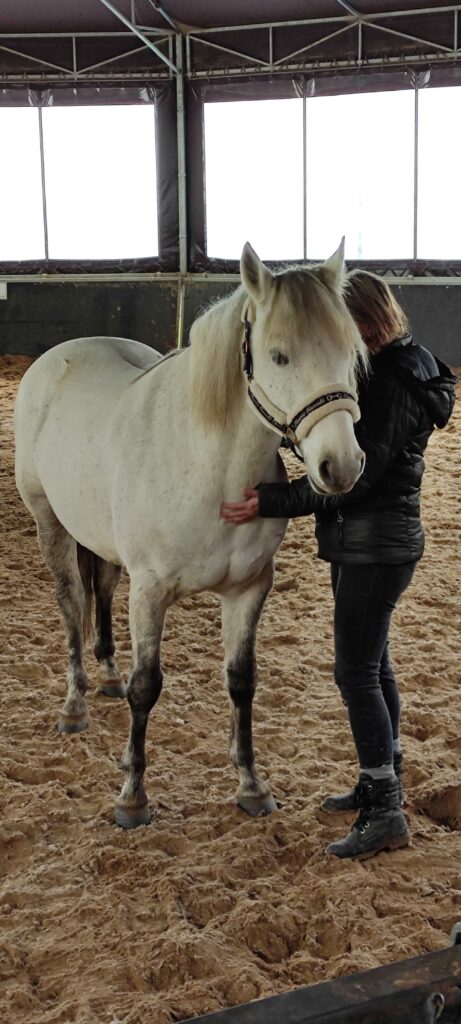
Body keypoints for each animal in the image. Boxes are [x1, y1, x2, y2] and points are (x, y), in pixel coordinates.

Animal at [14, 240, 366, 829]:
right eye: (279, 356)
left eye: (350, 353)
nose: (340, 466)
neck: (210, 469)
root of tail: (53, 359)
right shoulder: (150, 592)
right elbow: (146, 688)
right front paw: (132, 797)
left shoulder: (249, 589)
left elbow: (241, 681)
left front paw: (251, 785)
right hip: (50, 525)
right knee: (72, 605)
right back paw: (75, 704)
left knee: (101, 590)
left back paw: (106, 675)